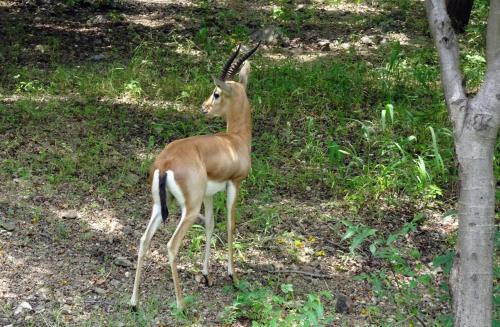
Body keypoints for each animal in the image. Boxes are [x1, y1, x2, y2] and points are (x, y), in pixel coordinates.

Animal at [129, 43, 262, 310]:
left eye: (216, 94)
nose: (204, 107)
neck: (235, 141)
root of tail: (165, 162)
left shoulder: (210, 194)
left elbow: (210, 224)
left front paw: (206, 274)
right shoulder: (234, 184)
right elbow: (230, 224)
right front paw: (233, 276)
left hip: (160, 205)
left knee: (144, 240)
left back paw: (134, 302)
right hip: (189, 210)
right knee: (171, 245)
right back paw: (181, 305)